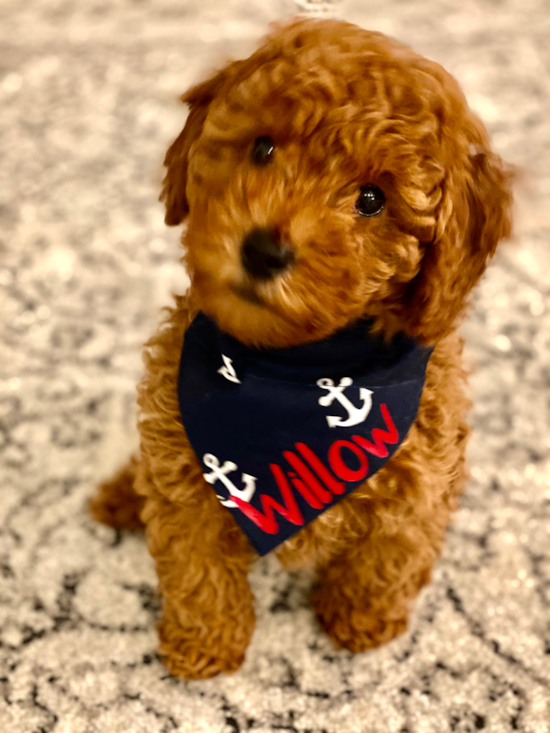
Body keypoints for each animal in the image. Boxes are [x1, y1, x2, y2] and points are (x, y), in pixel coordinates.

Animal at [88, 18, 516, 680]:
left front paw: (359, 622)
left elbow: (389, 554)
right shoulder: (183, 468)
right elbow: (196, 566)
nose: (264, 250)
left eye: (372, 199)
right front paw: (206, 645)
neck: (292, 368)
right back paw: (119, 497)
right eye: (263, 149)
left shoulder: (421, 477)